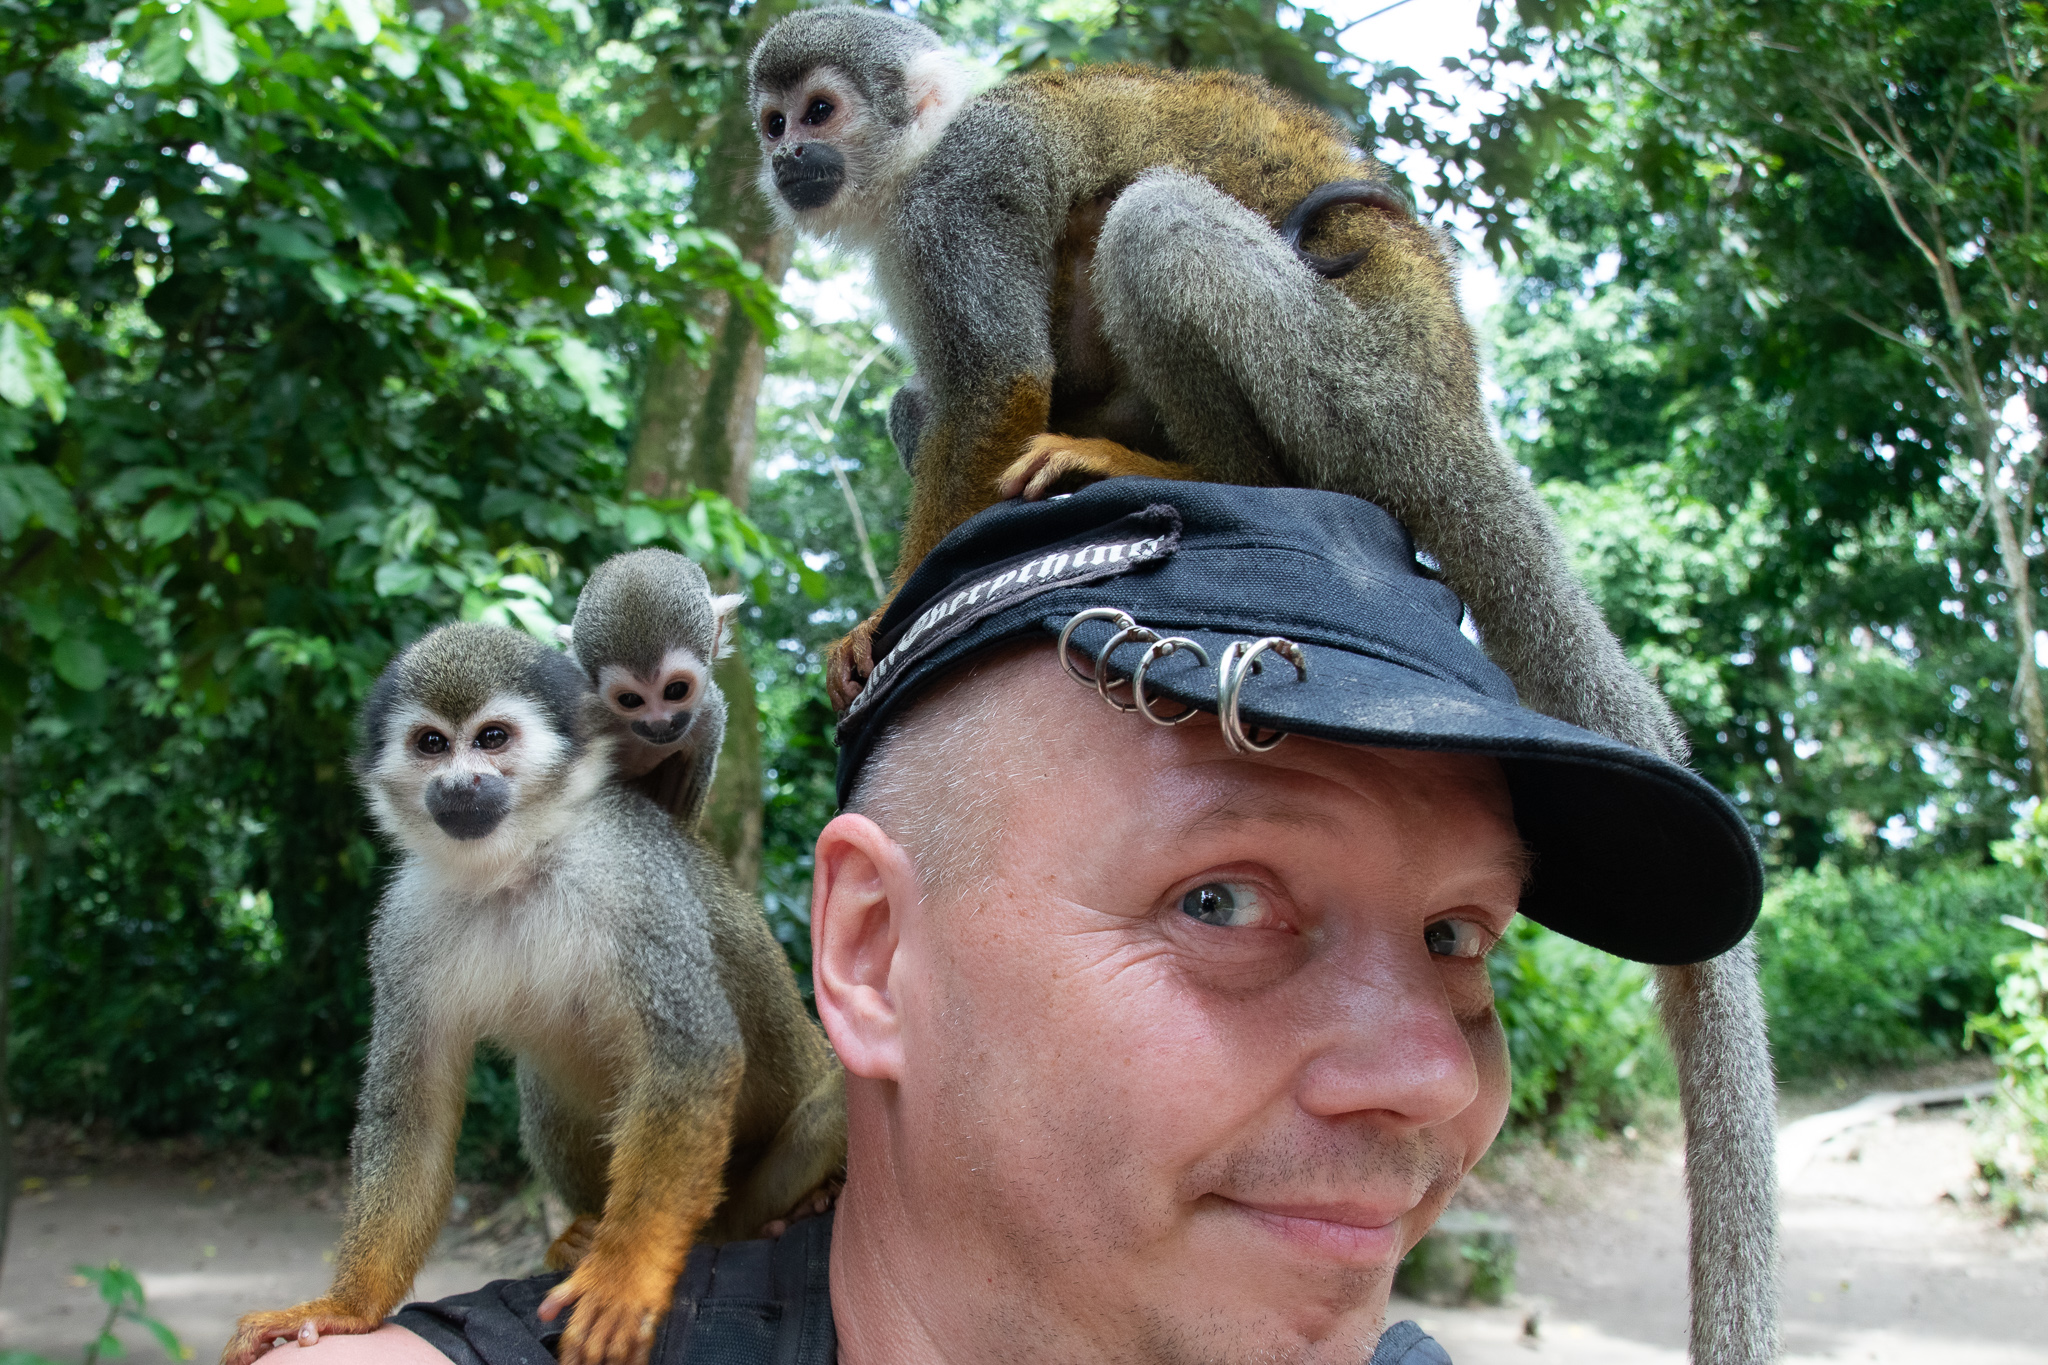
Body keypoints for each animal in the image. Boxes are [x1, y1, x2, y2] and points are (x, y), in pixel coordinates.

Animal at [222, 624, 844, 1365]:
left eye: (492, 738)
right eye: (431, 744)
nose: (459, 782)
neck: (518, 864)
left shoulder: (628, 872)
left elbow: (692, 1054)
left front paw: (624, 1276)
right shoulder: (405, 922)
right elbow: (415, 1110)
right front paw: (345, 1306)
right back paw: (584, 1231)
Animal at [749, 12, 1780, 1363]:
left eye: (817, 112)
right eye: (771, 122)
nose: (783, 162)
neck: (914, 158)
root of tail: (1454, 401)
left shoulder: (956, 205)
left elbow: (993, 386)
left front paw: (886, 612)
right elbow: (959, 396)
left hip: (1354, 387)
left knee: (1154, 225)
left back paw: (1195, 463)